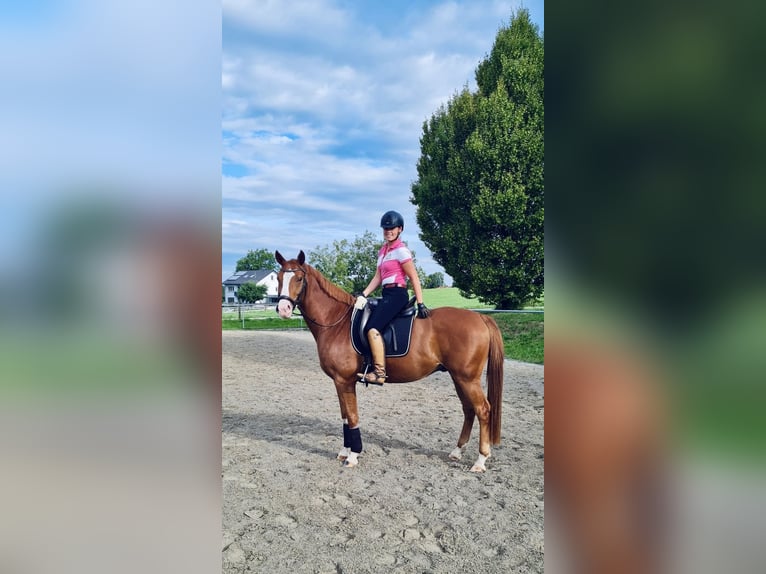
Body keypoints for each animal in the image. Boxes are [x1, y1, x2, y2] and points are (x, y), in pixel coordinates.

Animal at [274, 250, 504, 472]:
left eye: (299, 278)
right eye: (278, 278)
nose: (283, 309)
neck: (337, 322)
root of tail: (480, 317)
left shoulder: (344, 380)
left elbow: (353, 416)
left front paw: (353, 455)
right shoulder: (339, 382)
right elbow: (345, 416)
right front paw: (344, 451)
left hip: (467, 379)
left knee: (483, 409)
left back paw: (480, 460)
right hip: (459, 378)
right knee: (468, 409)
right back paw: (457, 451)